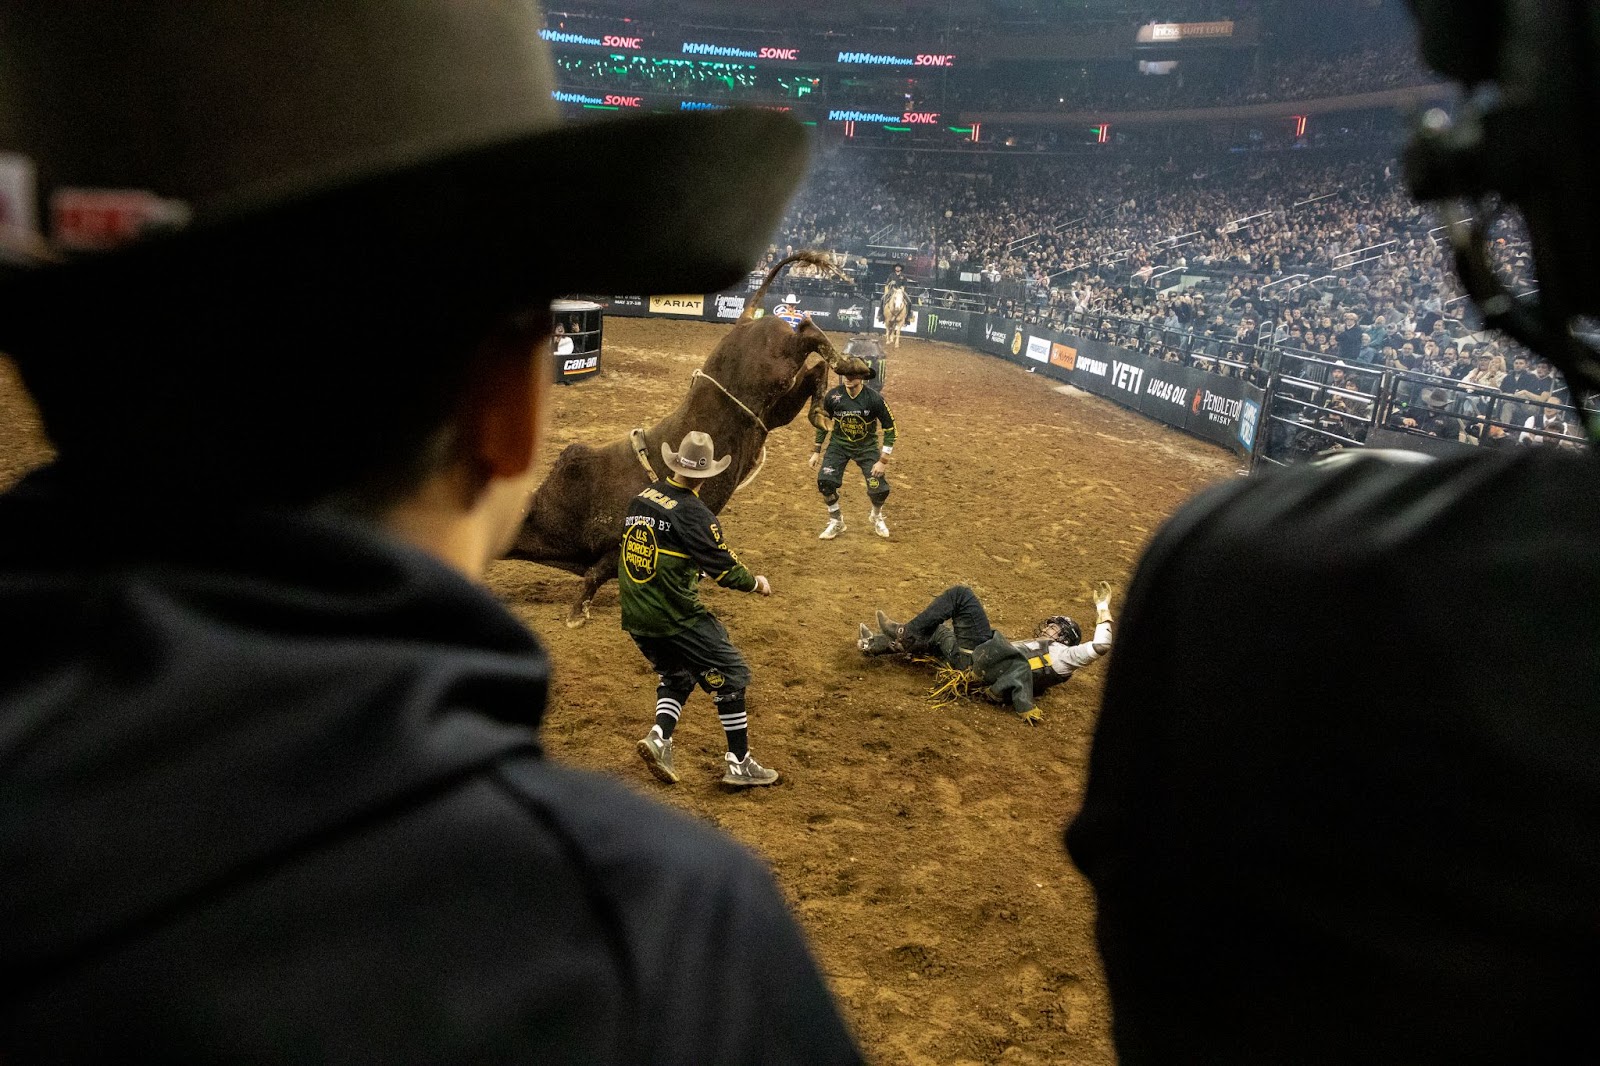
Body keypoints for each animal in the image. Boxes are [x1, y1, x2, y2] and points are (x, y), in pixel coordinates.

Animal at [505, 251, 870, 624]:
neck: (557, 505)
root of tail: (743, 324)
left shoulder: (619, 539)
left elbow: (596, 574)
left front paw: (577, 613)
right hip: (775, 406)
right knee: (813, 373)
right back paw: (824, 405)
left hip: (775, 367)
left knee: (809, 332)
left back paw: (852, 364)